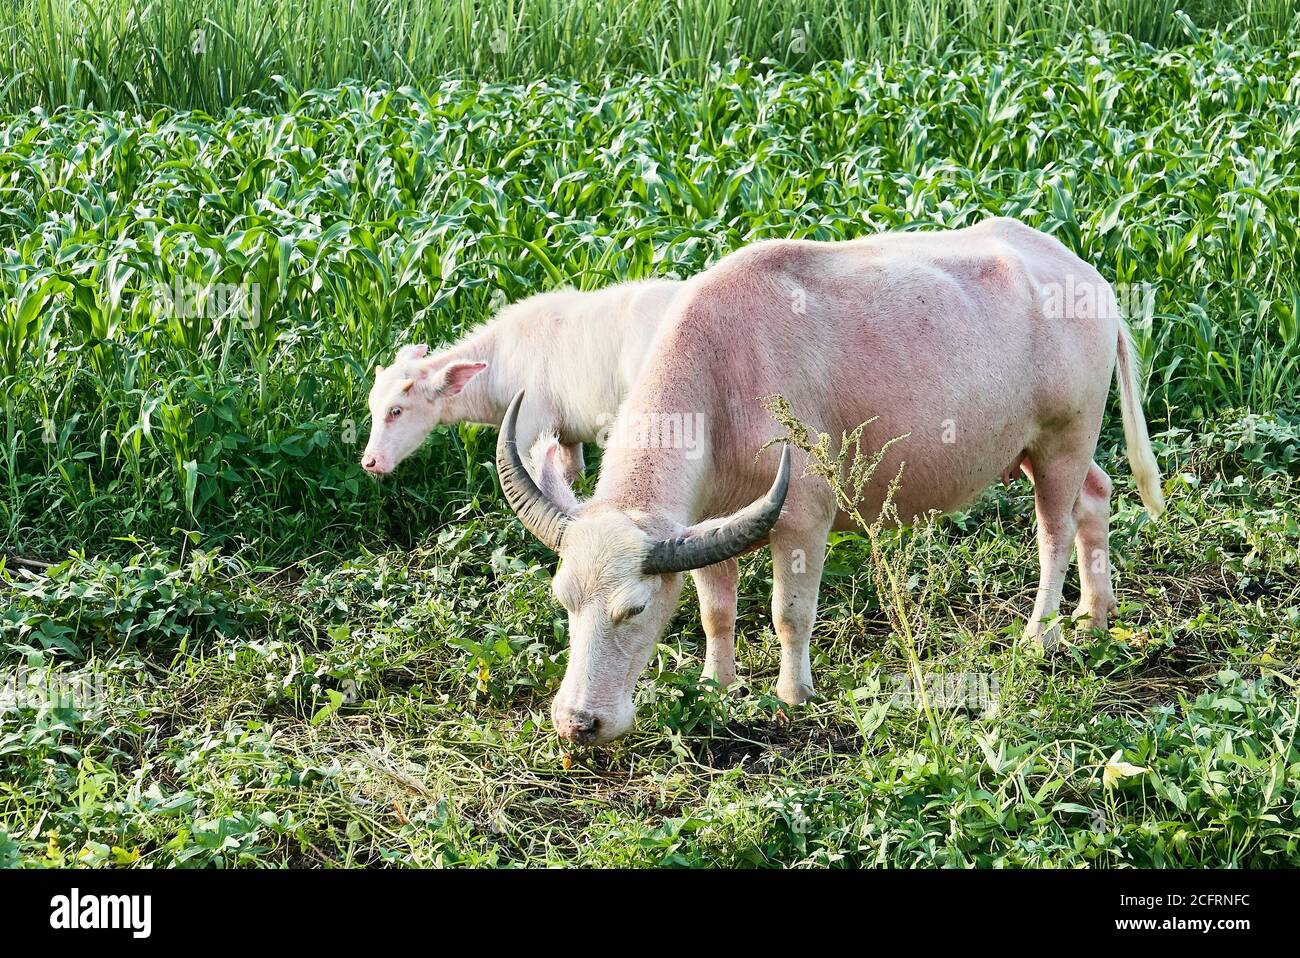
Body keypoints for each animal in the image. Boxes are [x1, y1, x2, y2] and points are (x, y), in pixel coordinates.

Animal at [358, 280, 681, 478]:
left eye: (396, 410)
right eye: (372, 409)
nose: (369, 461)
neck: (498, 363)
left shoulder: (529, 432)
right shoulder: (567, 436)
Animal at [496, 218, 1170, 748]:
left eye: (633, 609)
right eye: (562, 601)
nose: (578, 722)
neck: (721, 382)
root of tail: (1090, 281)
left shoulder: (801, 518)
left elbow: (789, 613)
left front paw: (794, 693)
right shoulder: (707, 521)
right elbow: (716, 610)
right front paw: (717, 683)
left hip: (1064, 437)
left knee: (1055, 530)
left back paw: (1041, 632)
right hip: (1044, 448)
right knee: (1095, 497)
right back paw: (1095, 613)